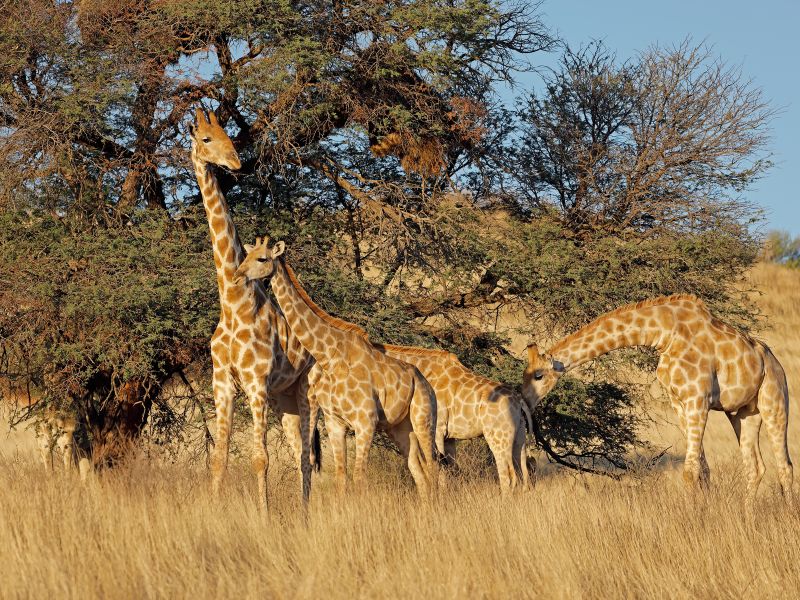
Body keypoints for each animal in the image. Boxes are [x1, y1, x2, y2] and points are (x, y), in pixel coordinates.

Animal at [191, 108, 318, 506]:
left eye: (229, 135)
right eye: (206, 138)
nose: (235, 162)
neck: (233, 304)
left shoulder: (255, 381)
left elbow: (260, 459)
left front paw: (264, 514)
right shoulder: (222, 383)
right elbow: (220, 457)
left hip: (307, 392)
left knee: (307, 457)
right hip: (283, 399)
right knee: (299, 453)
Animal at [234, 239, 440, 496]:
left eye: (262, 258)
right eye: (245, 256)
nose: (237, 277)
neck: (329, 358)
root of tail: (427, 385)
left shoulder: (366, 421)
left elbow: (359, 477)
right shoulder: (335, 423)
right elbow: (342, 478)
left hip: (424, 419)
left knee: (434, 468)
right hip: (400, 427)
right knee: (419, 472)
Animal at [376, 344, 536, 494]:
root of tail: (519, 401)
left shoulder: (437, 430)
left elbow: (441, 470)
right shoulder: (449, 438)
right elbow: (449, 470)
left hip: (498, 438)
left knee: (508, 476)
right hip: (519, 437)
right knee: (524, 476)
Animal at [520, 292, 792, 508]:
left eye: (538, 375)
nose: (524, 401)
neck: (664, 333)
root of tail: (775, 363)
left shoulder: (698, 399)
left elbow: (690, 471)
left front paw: (694, 519)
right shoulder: (679, 403)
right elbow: (702, 469)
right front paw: (704, 510)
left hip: (775, 402)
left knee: (785, 465)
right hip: (743, 413)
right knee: (755, 467)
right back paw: (747, 516)